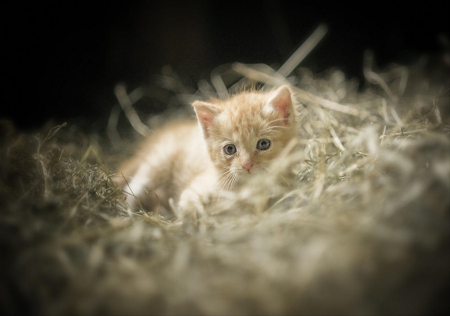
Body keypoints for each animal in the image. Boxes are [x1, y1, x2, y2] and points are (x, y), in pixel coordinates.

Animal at [116, 85, 298, 216]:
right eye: (230, 149)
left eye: (263, 144)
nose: (247, 165)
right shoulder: (195, 188)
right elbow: (189, 207)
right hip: (157, 164)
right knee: (134, 187)